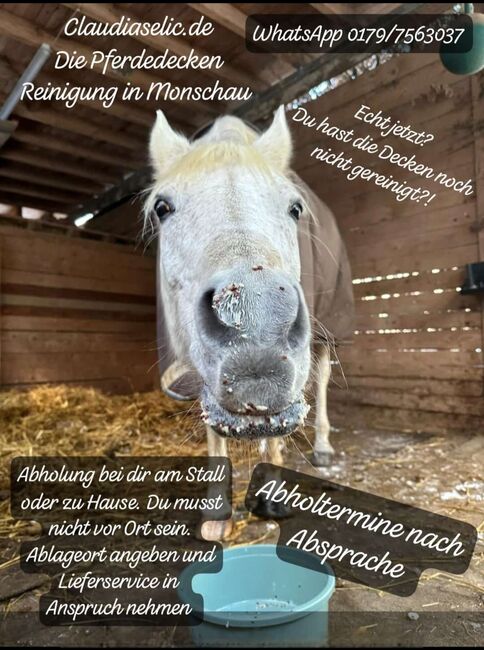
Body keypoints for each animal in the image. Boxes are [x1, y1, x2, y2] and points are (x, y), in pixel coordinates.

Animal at [145, 106, 354, 539]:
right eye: (162, 207)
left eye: (295, 208)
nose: (255, 327)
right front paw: (216, 514)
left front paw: (271, 496)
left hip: (328, 329)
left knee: (323, 378)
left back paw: (323, 447)